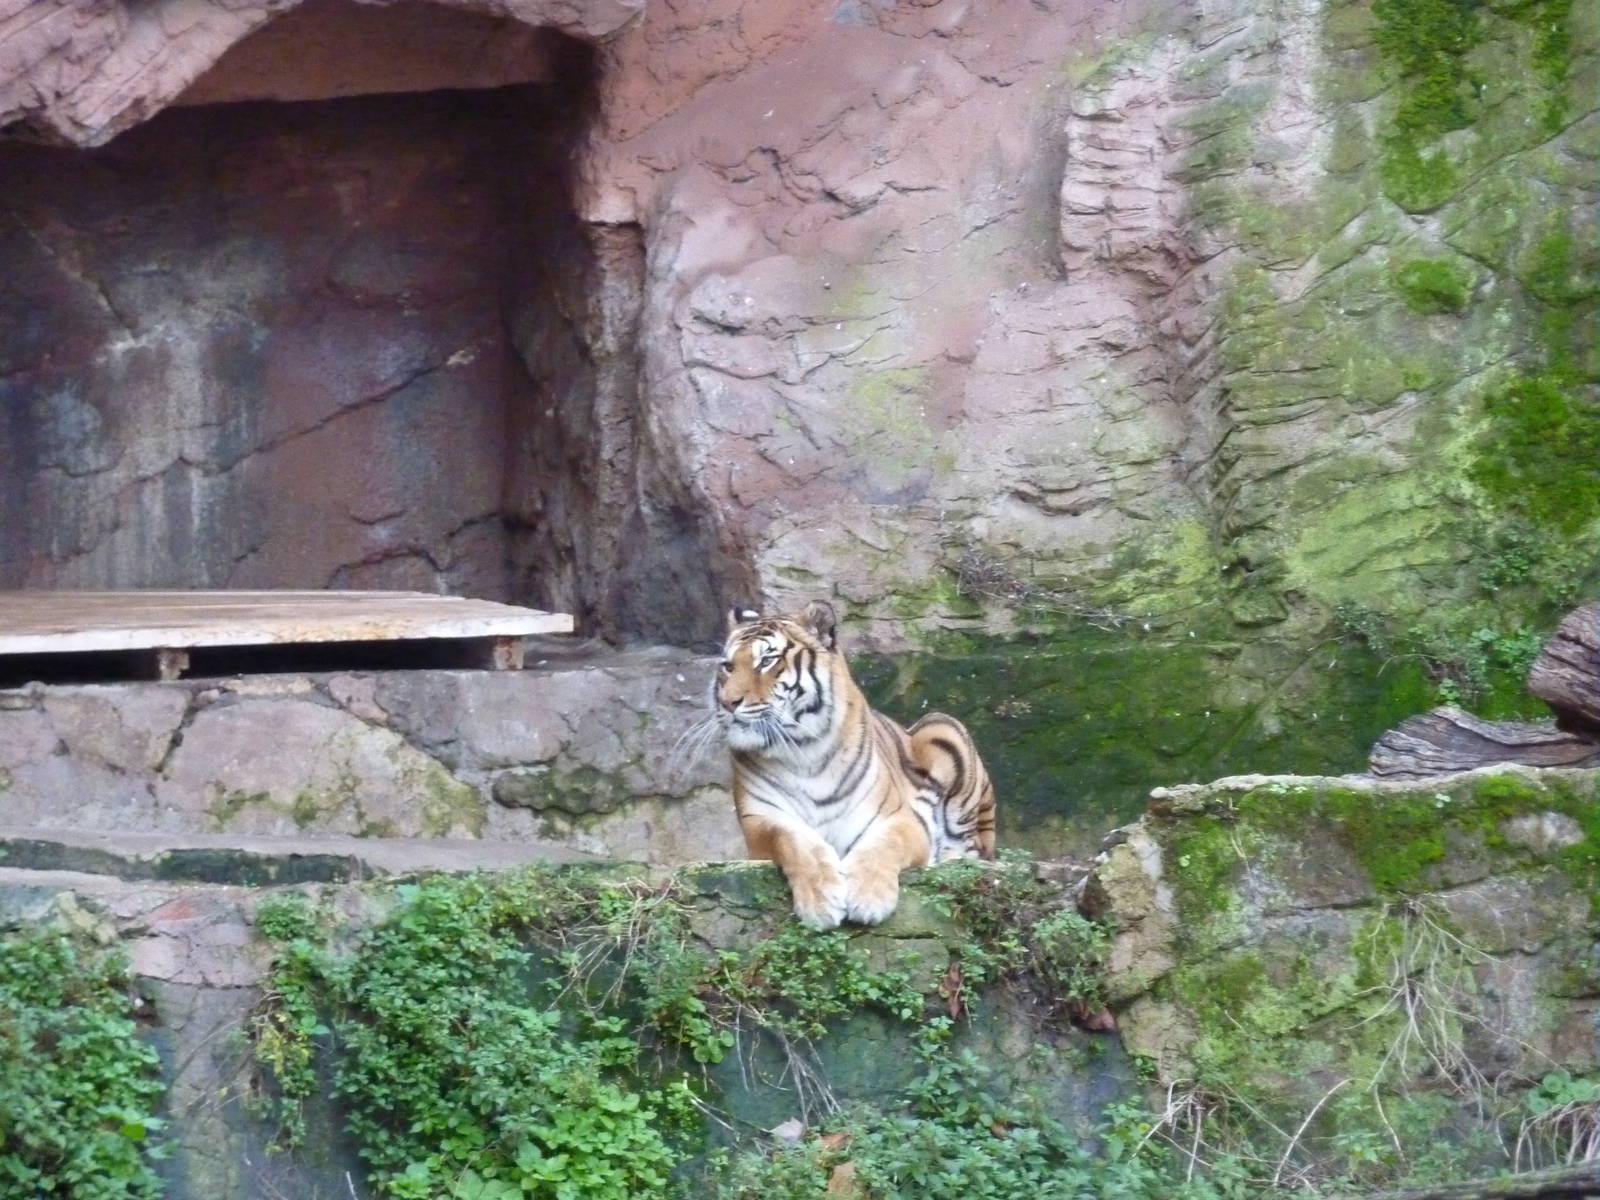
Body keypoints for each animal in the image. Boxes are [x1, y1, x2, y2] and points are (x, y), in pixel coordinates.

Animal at [713, 599, 996, 930]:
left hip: (942, 727)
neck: (802, 751)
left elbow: (883, 846)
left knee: (976, 848)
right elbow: (794, 841)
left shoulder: (899, 819)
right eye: (728, 666)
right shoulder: (761, 820)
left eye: (767, 661)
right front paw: (821, 902)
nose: (728, 702)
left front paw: (868, 898)